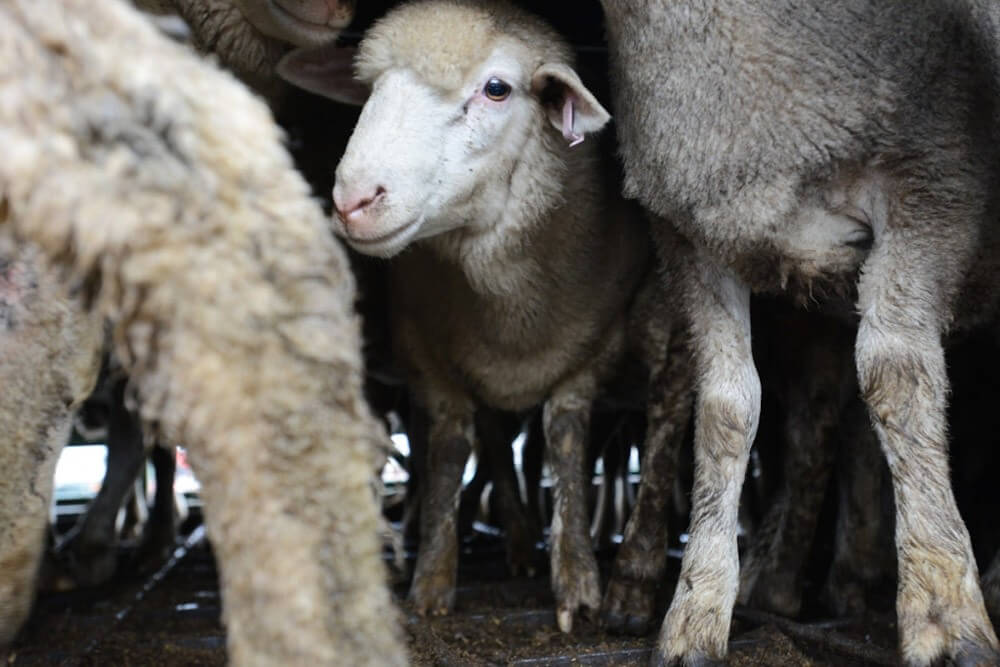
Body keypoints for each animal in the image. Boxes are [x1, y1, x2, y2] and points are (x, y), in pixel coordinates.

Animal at [278, 0, 692, 636]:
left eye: (497, 89)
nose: (353, 201)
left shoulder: (591, 347)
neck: (512, 310)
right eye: (369, 88)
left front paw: (579, 583)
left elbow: (565, 442)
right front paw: (431, 581)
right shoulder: (424, 346)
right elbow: (451, 449)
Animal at [596, 0, 1000, 664]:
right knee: (818, 420)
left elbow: (896, 374)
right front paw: (696, 611)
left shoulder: (935, 186)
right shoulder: (695, 235)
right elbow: (725, 408)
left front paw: (943, 610)